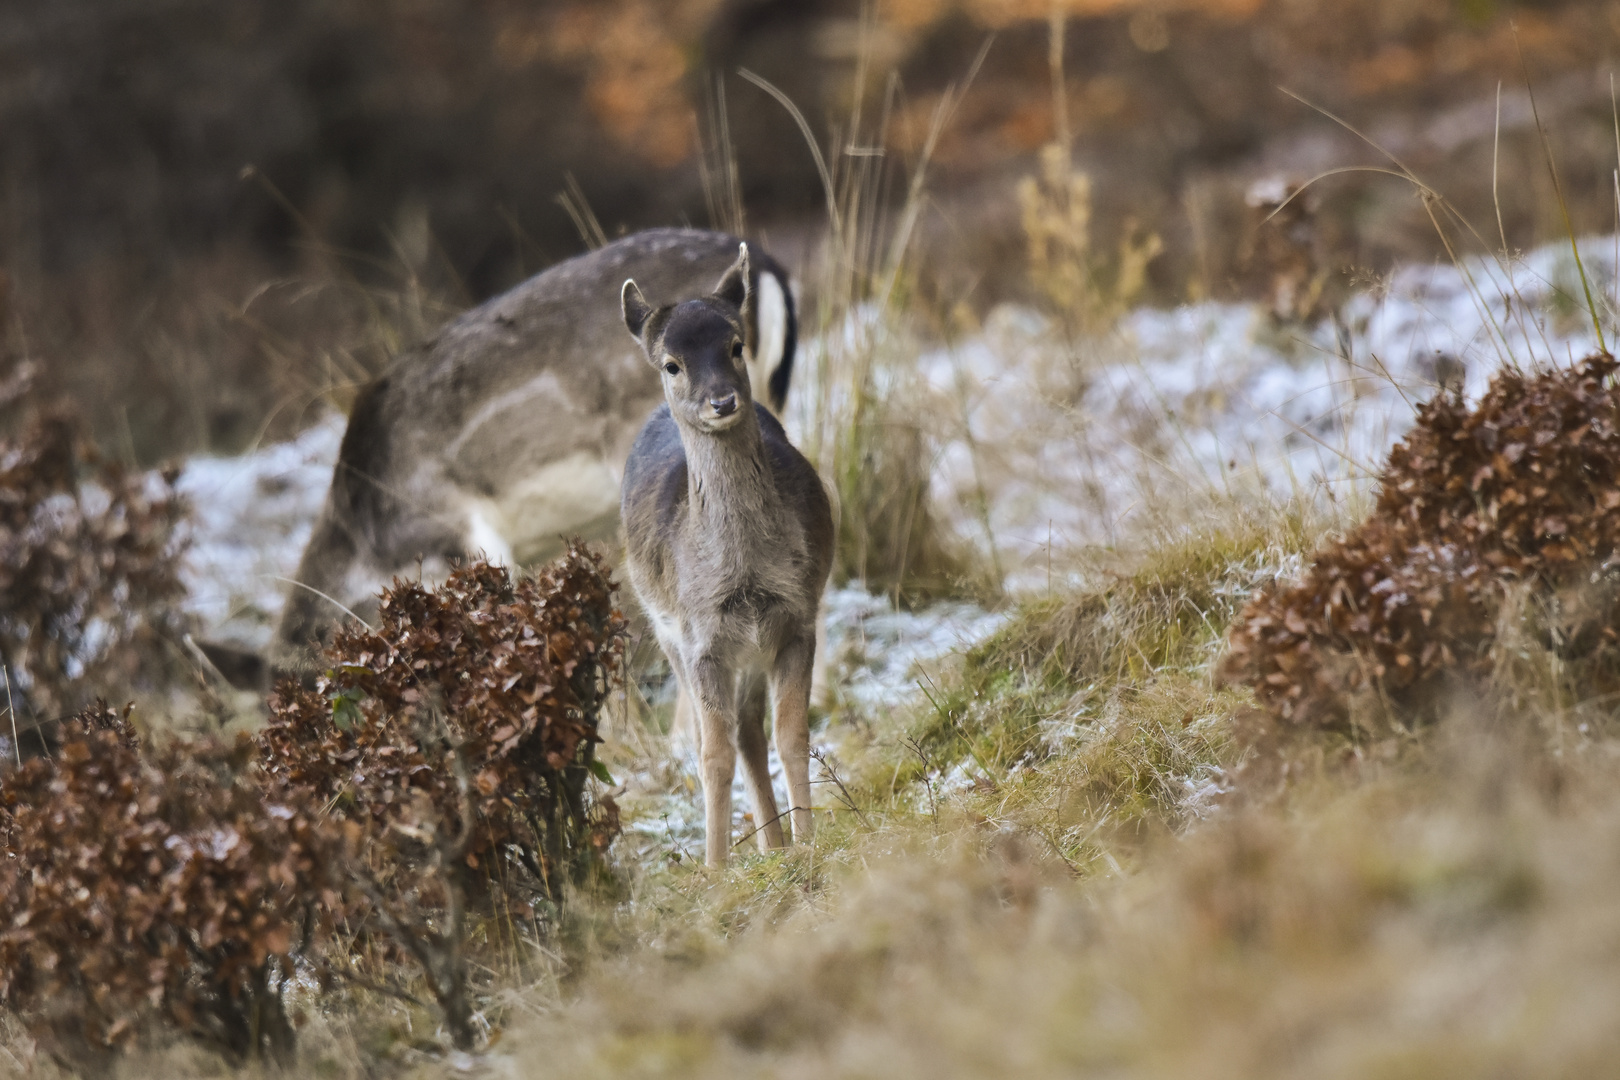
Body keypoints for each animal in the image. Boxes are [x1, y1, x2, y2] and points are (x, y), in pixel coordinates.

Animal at [612, 247, 829, 867]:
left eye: (736, 344)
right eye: (671, 363)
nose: (723, 400)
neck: (745, 575)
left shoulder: (797, 618)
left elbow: (792, 734)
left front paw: (808, 841)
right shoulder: (700, 638)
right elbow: (712, 755)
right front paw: (715, 867)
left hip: (751, 651)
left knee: (752, 729)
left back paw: (776, 843)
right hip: (670, 638)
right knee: (729, 734)